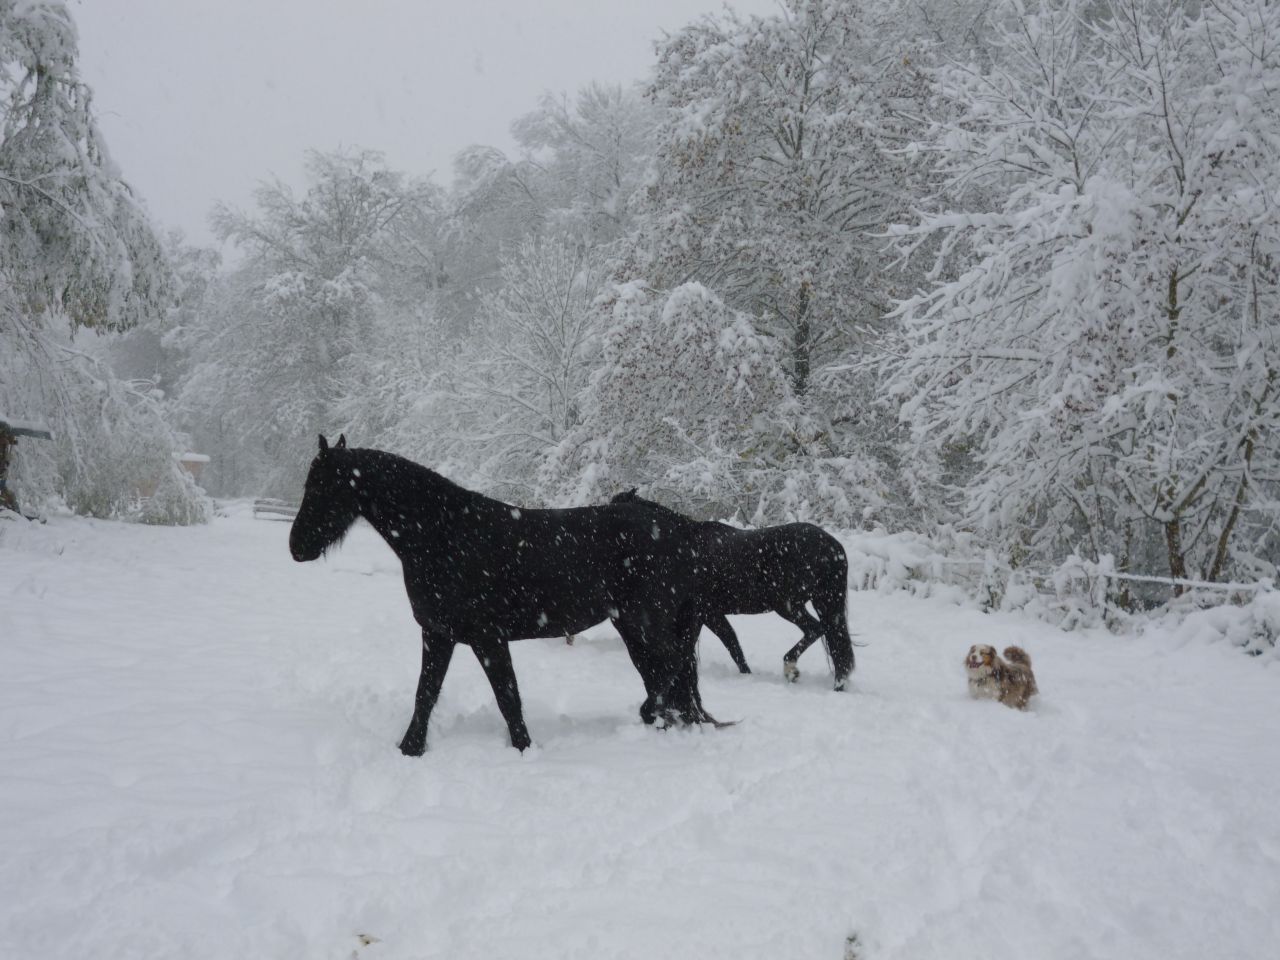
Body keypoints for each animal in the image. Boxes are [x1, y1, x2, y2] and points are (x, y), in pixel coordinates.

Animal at [288, 435, 718, 754]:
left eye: (322, 487)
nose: (296, 547)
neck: (444, 535)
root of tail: (678, 528)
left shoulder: (488, 639)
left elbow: (507, 698)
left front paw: (525, 749)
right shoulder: (437, 634)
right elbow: (425, 693)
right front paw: (410, 748)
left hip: (644, 622)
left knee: (670, 667)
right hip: (631, 626)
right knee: (663, 673)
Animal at [610, 490, 856, 689]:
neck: (685, 548)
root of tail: (833, 546)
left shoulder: (705, 612)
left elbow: (722, 642)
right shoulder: (708, 614)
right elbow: (728, 643)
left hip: (787, 605)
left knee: (816, 629)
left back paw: (791, 669)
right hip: (820, 602)